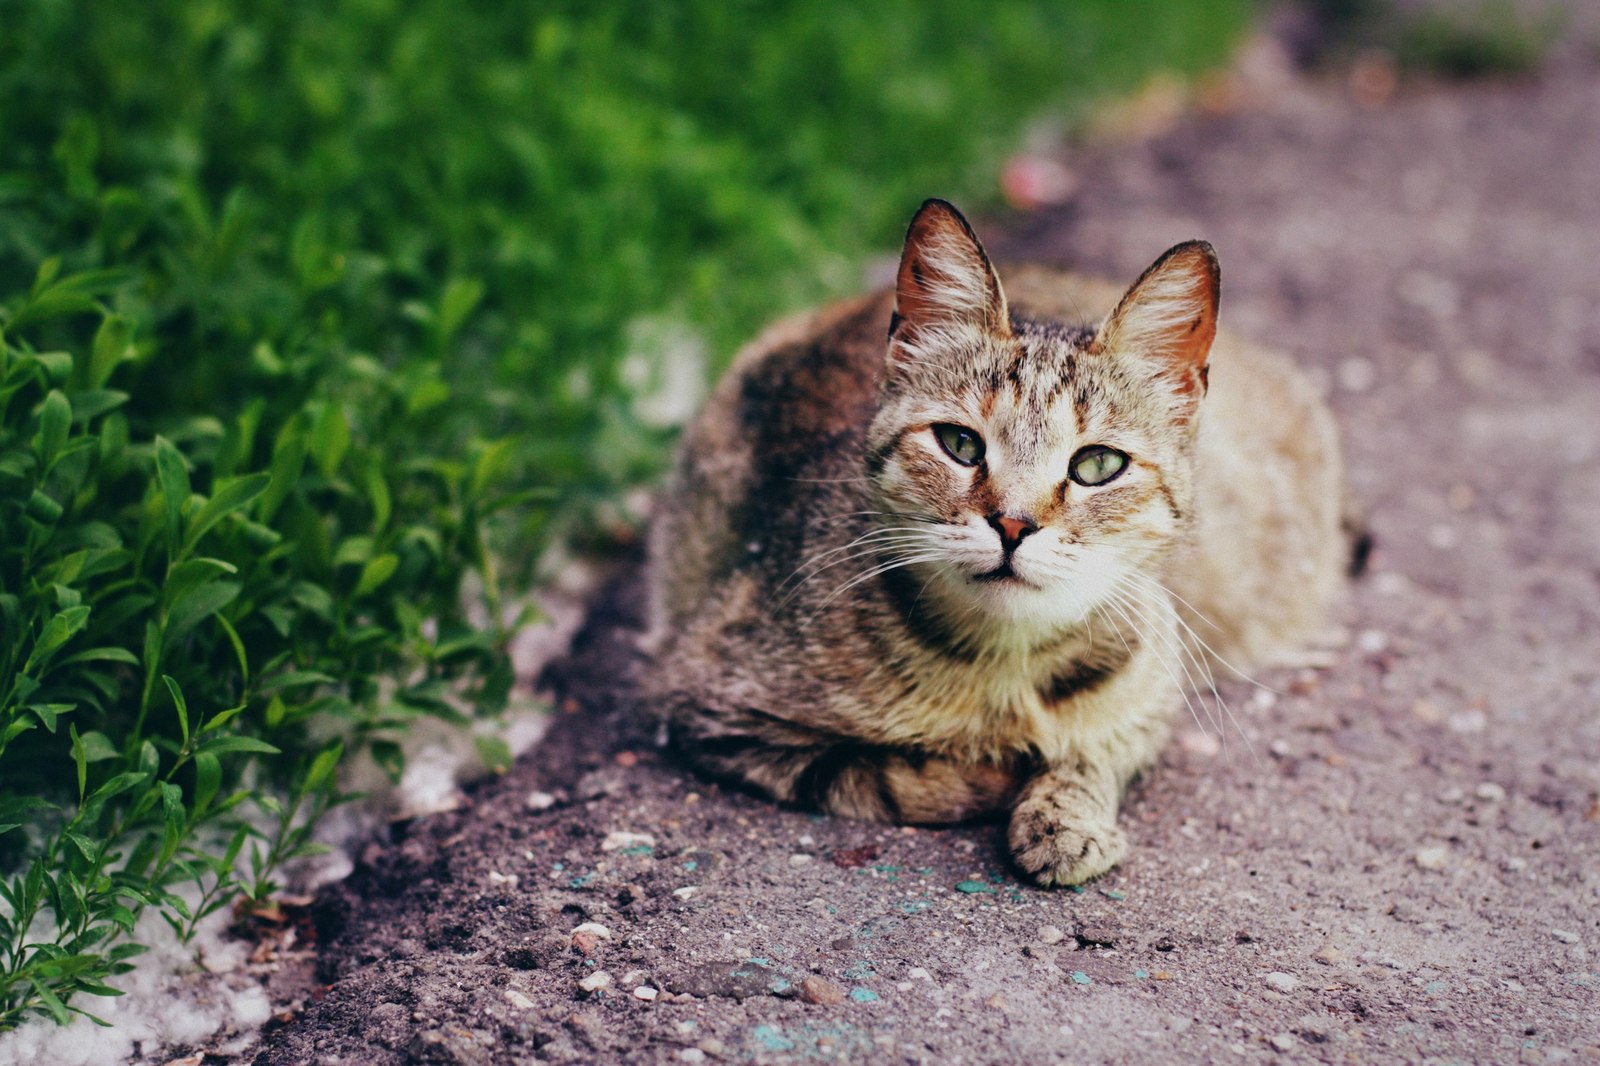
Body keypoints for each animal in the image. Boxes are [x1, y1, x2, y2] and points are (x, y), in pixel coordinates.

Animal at [643, 196, 1344, 877]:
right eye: (960, 444)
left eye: (1097, 465)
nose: (1013, 523)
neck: (1007, 663)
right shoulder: (717, 709)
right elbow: (900, 777)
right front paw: (1008, 773)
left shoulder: (1151, 691)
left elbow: (1096, 753)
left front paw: (1066, 814)